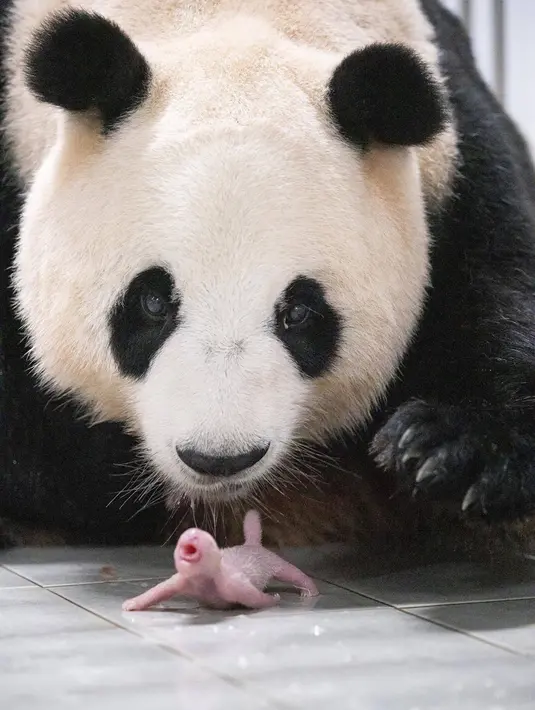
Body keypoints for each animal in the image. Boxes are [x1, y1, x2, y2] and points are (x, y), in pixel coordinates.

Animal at [1, 0, 535, 556]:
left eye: (299, 312)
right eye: (152, 303)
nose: (219, 458)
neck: (232, 17)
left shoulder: (458, 157)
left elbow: (500, 283)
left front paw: (449, 450)